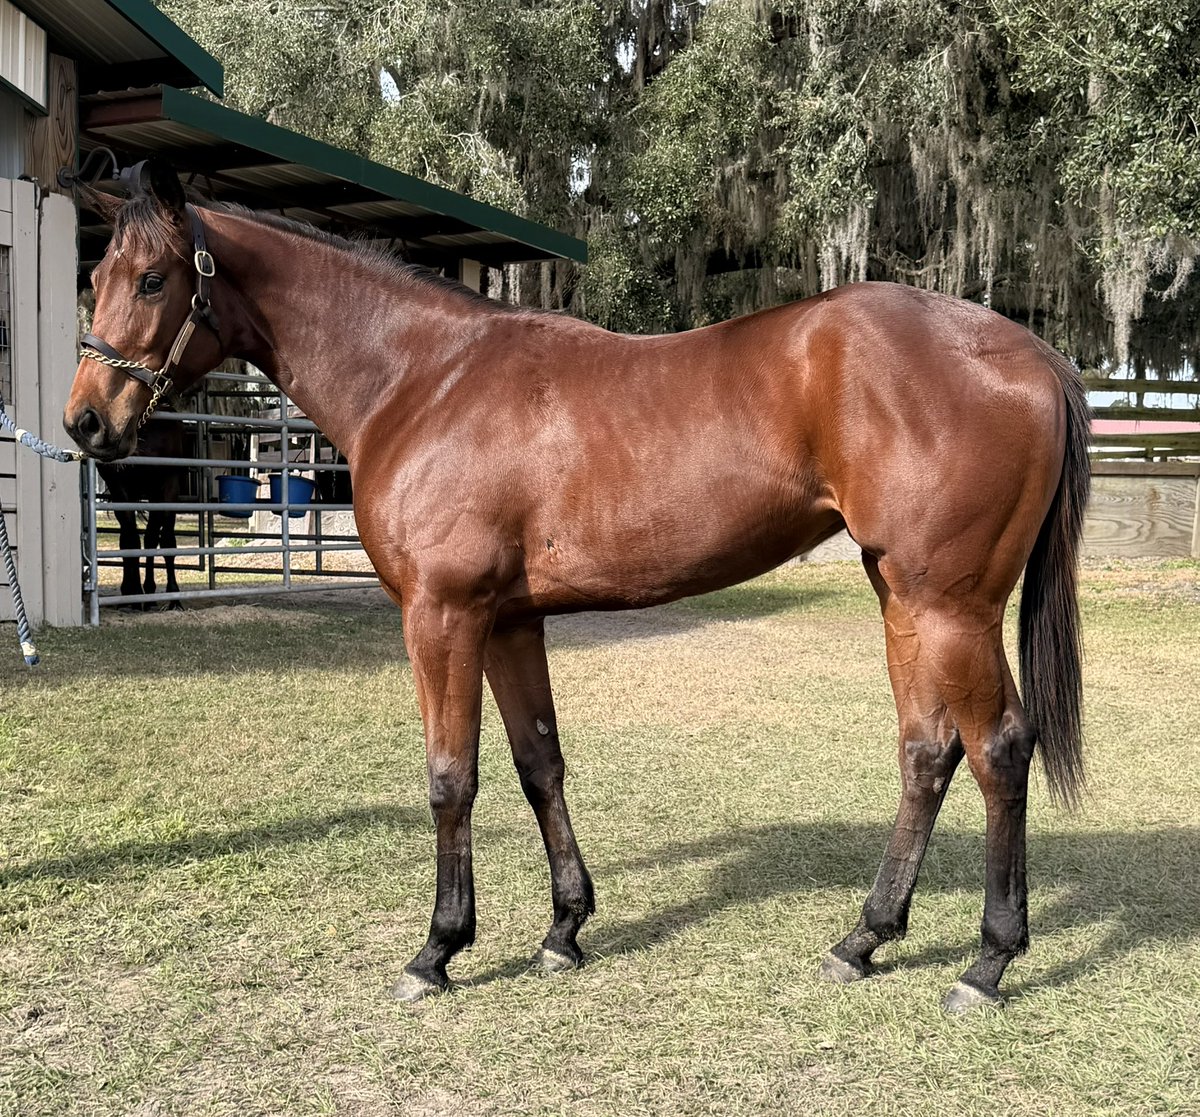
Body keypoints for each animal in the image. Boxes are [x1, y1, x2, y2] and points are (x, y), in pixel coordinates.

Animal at [96, 418, 187, 607]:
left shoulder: (167, 484)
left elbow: (165, 540)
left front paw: (173, 595)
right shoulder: (120, 487)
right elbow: (132, 542)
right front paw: (136, 592)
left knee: (149, 538)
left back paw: (149, 593)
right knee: (126, 539)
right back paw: (129, 592)